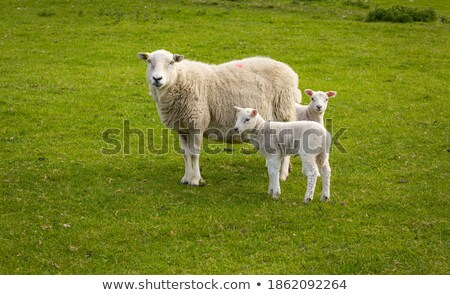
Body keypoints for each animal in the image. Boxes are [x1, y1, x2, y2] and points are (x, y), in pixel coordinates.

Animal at [135, 49, 300, 186]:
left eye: (171, 62)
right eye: (149, 61)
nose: (157, 78)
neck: (179, 80)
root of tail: (290, 71)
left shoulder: (197, 123)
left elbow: (194, 154)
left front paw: (195, 180)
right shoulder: (182, 128)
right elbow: (186, 155)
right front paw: (186, 177)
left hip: (284, 113)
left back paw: (283, 174)